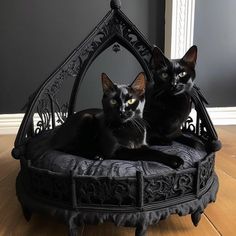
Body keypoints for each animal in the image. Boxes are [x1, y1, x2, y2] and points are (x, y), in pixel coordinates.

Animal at [52, 72, 184, 168]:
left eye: (131, 100)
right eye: (113, 101)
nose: (122, 111)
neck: (129, 127)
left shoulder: (142, 143)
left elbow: (149, 148)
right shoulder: (116, 150)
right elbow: (150, 152)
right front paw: (174, 159)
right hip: (86, 118)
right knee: (71, 148)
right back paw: (95, 155)